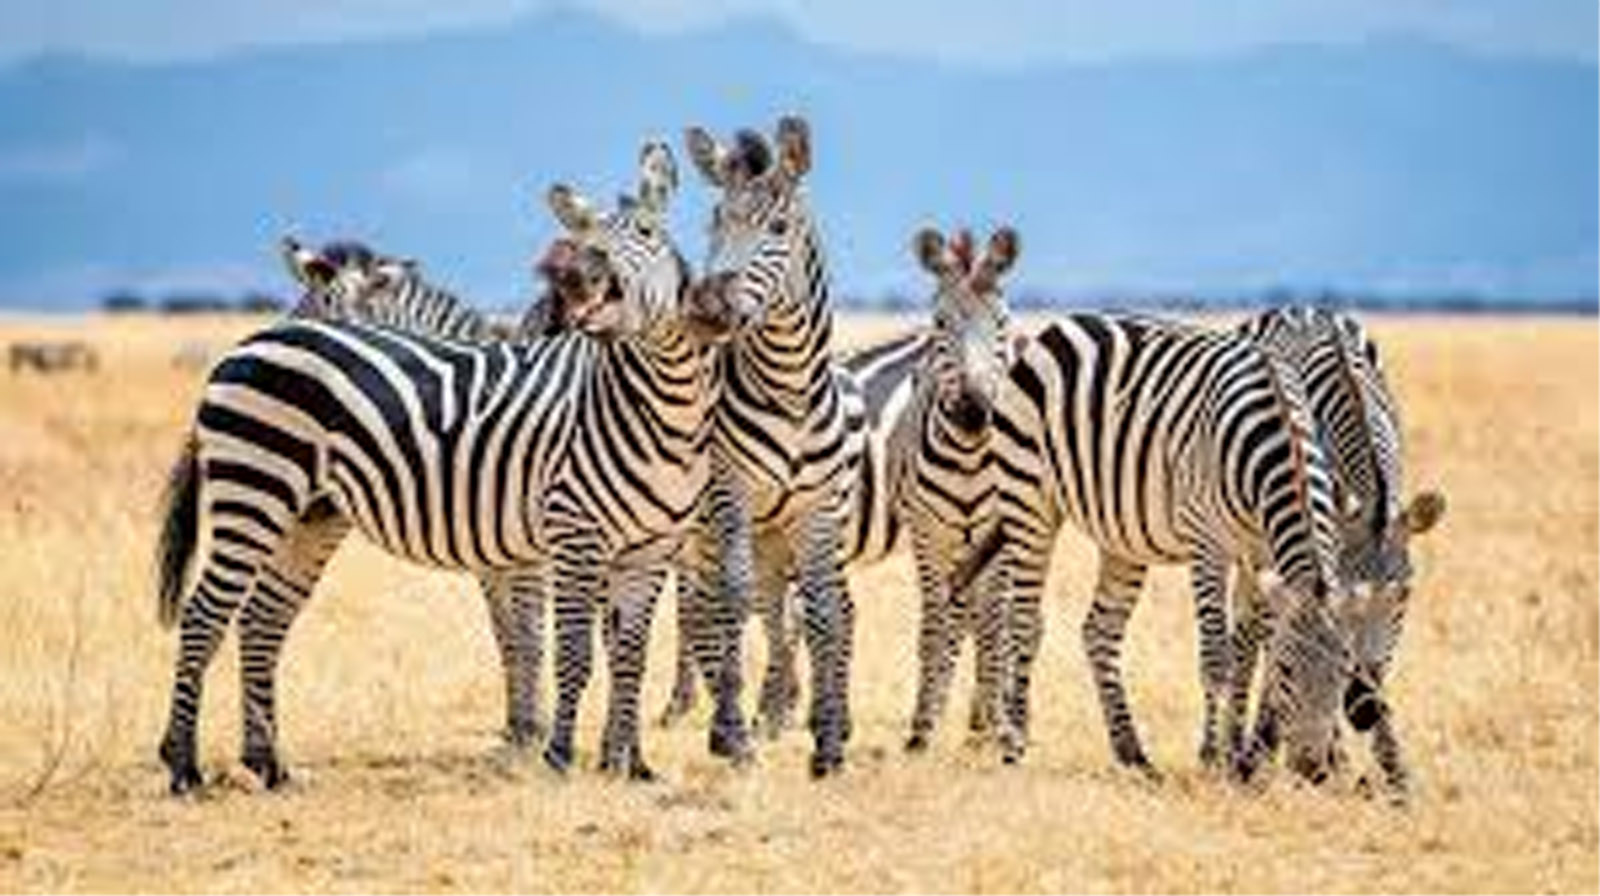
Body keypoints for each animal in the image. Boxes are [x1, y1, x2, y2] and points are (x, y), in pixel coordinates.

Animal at [153, 141, 739, 793]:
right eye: (587, 239)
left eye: (644, 233)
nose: (579, 276)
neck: (662, 405)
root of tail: (244, 345)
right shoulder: (569, 537)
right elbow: (562, 648)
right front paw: (554, 754)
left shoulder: (646, 547)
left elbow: (625, 652)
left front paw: (628, 764)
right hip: (253, 493)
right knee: (204, 616)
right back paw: (184, 766)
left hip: (309, 514)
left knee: (261, 619)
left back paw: (270, 765)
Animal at [676, 115, 862, 777]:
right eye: (713, 220)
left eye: (778, 228)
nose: (706, 308)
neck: (790, 392)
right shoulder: (729, 495)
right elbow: (730, 603)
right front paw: (735, 735)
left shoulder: (816, 509)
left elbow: (826, 611)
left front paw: (828, 744)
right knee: (713, 608)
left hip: (777, 538)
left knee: (792, 613)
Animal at [951, 311, 1356, 782]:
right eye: (1289, 671)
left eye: (1346, 671)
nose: (1312, 769)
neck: (1277, 439)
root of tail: (1059, 326)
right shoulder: (1208, 545)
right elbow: (1218, 656)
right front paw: (1216, 759)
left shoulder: (1262, 555)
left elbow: (1249, 649)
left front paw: (1243, 760)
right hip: (1030, 499)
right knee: (1023, 621)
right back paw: (1014, 744)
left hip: (1121, 536)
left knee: (1099, 631)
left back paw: (1133, 754)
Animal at [1233, 306, 1446, 796]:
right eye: (1349, 594)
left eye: (1403, 595)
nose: (1364, 709)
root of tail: (1299, 307)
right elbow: (1291, 644)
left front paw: (1395, 774)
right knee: (1249, 631)